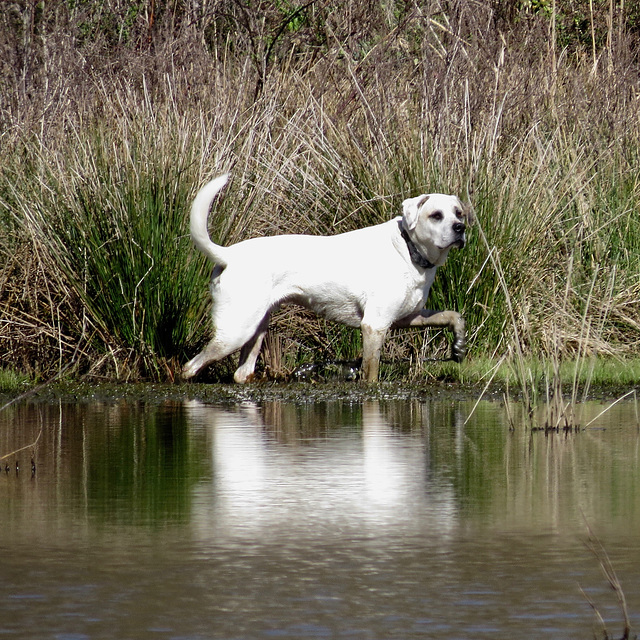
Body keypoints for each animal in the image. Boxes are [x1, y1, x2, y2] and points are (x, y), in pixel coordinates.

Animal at [182, 172, 472, 382]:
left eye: (458, 213)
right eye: (436, 215)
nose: (460, 228)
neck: (409, 251)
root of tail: (229, 254)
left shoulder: (406, 317)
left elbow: (453, 316)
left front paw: (458, 346)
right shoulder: (374, 325)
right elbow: (371, 374)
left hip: (256, 329)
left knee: (241, 374)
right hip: (234, 332)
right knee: (189, 367)